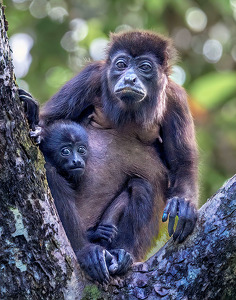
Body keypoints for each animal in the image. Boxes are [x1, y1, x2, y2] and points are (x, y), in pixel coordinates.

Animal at [20, 29, 198, 274]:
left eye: (144, 67)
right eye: (121, 64)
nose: (130, 78)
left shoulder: (175, 98)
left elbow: (182, 161)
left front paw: (184, 204)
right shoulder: (90, 76)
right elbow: (51, 122)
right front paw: (32, 115)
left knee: (142, 186)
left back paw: (122, 254)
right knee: (52, 174)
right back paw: (87, 252)